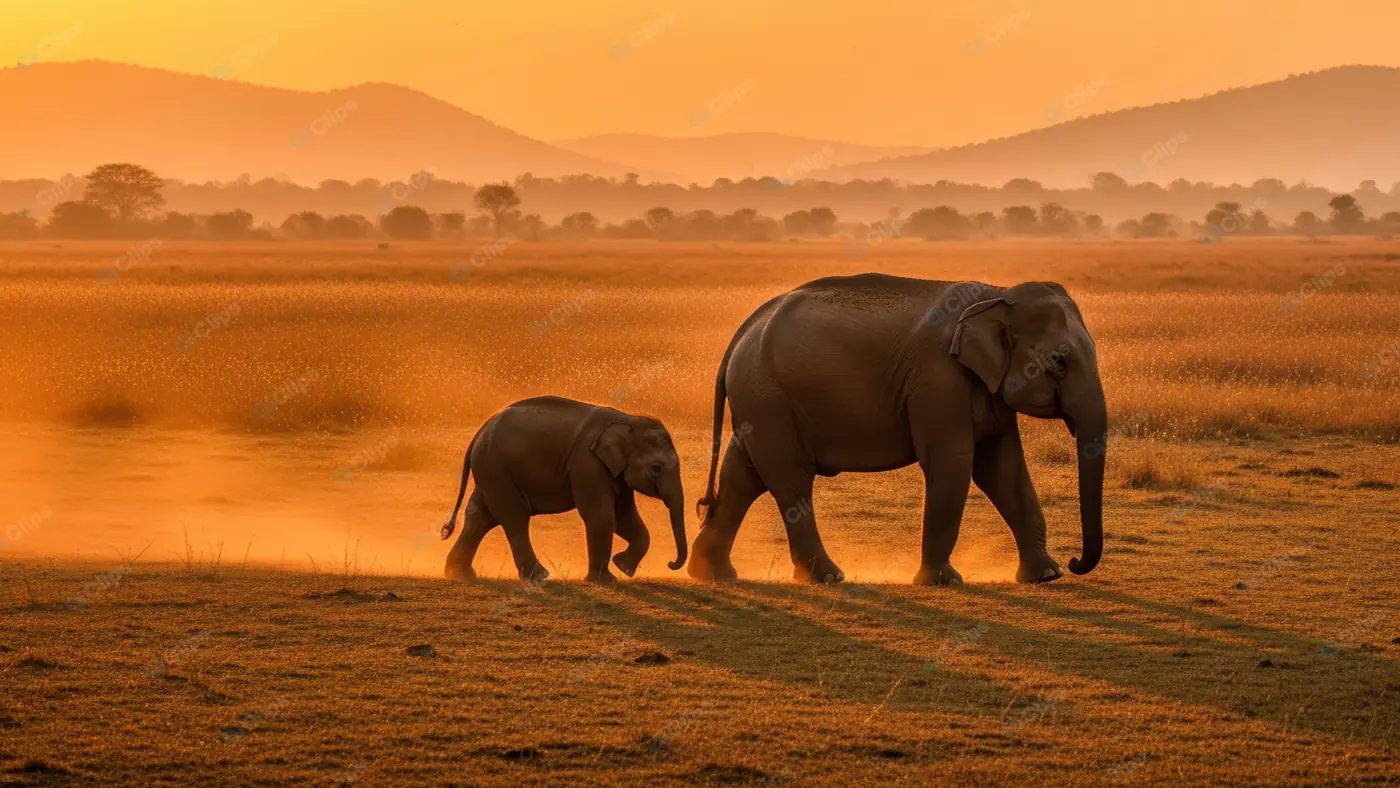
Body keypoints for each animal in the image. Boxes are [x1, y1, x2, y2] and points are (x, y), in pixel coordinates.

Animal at [440, 396, 688, 583]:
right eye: (657, 469)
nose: (670, 563)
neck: (627, 419)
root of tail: (479, 432)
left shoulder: (615, 470)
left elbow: (624, 516)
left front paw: (623, 568)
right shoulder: (587, 464)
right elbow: (602, 516)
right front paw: (606, 580)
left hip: (491, 472)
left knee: (480, 515)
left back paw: (460, 574)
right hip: (497, 469)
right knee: (514, 517)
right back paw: (539, 576)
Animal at [688, 275, 1106, 586]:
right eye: (1060, 362)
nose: (1074, 561)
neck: (996, 295)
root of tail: (743, 332)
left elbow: (1003, 470)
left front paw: (1045, 576)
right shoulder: (938, 381)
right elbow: (953, 464)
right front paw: (943, 582)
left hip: (760, 402)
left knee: (743, 475)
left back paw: (713, 575)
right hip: (768, 398)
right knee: (789, 480)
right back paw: (828, 577)